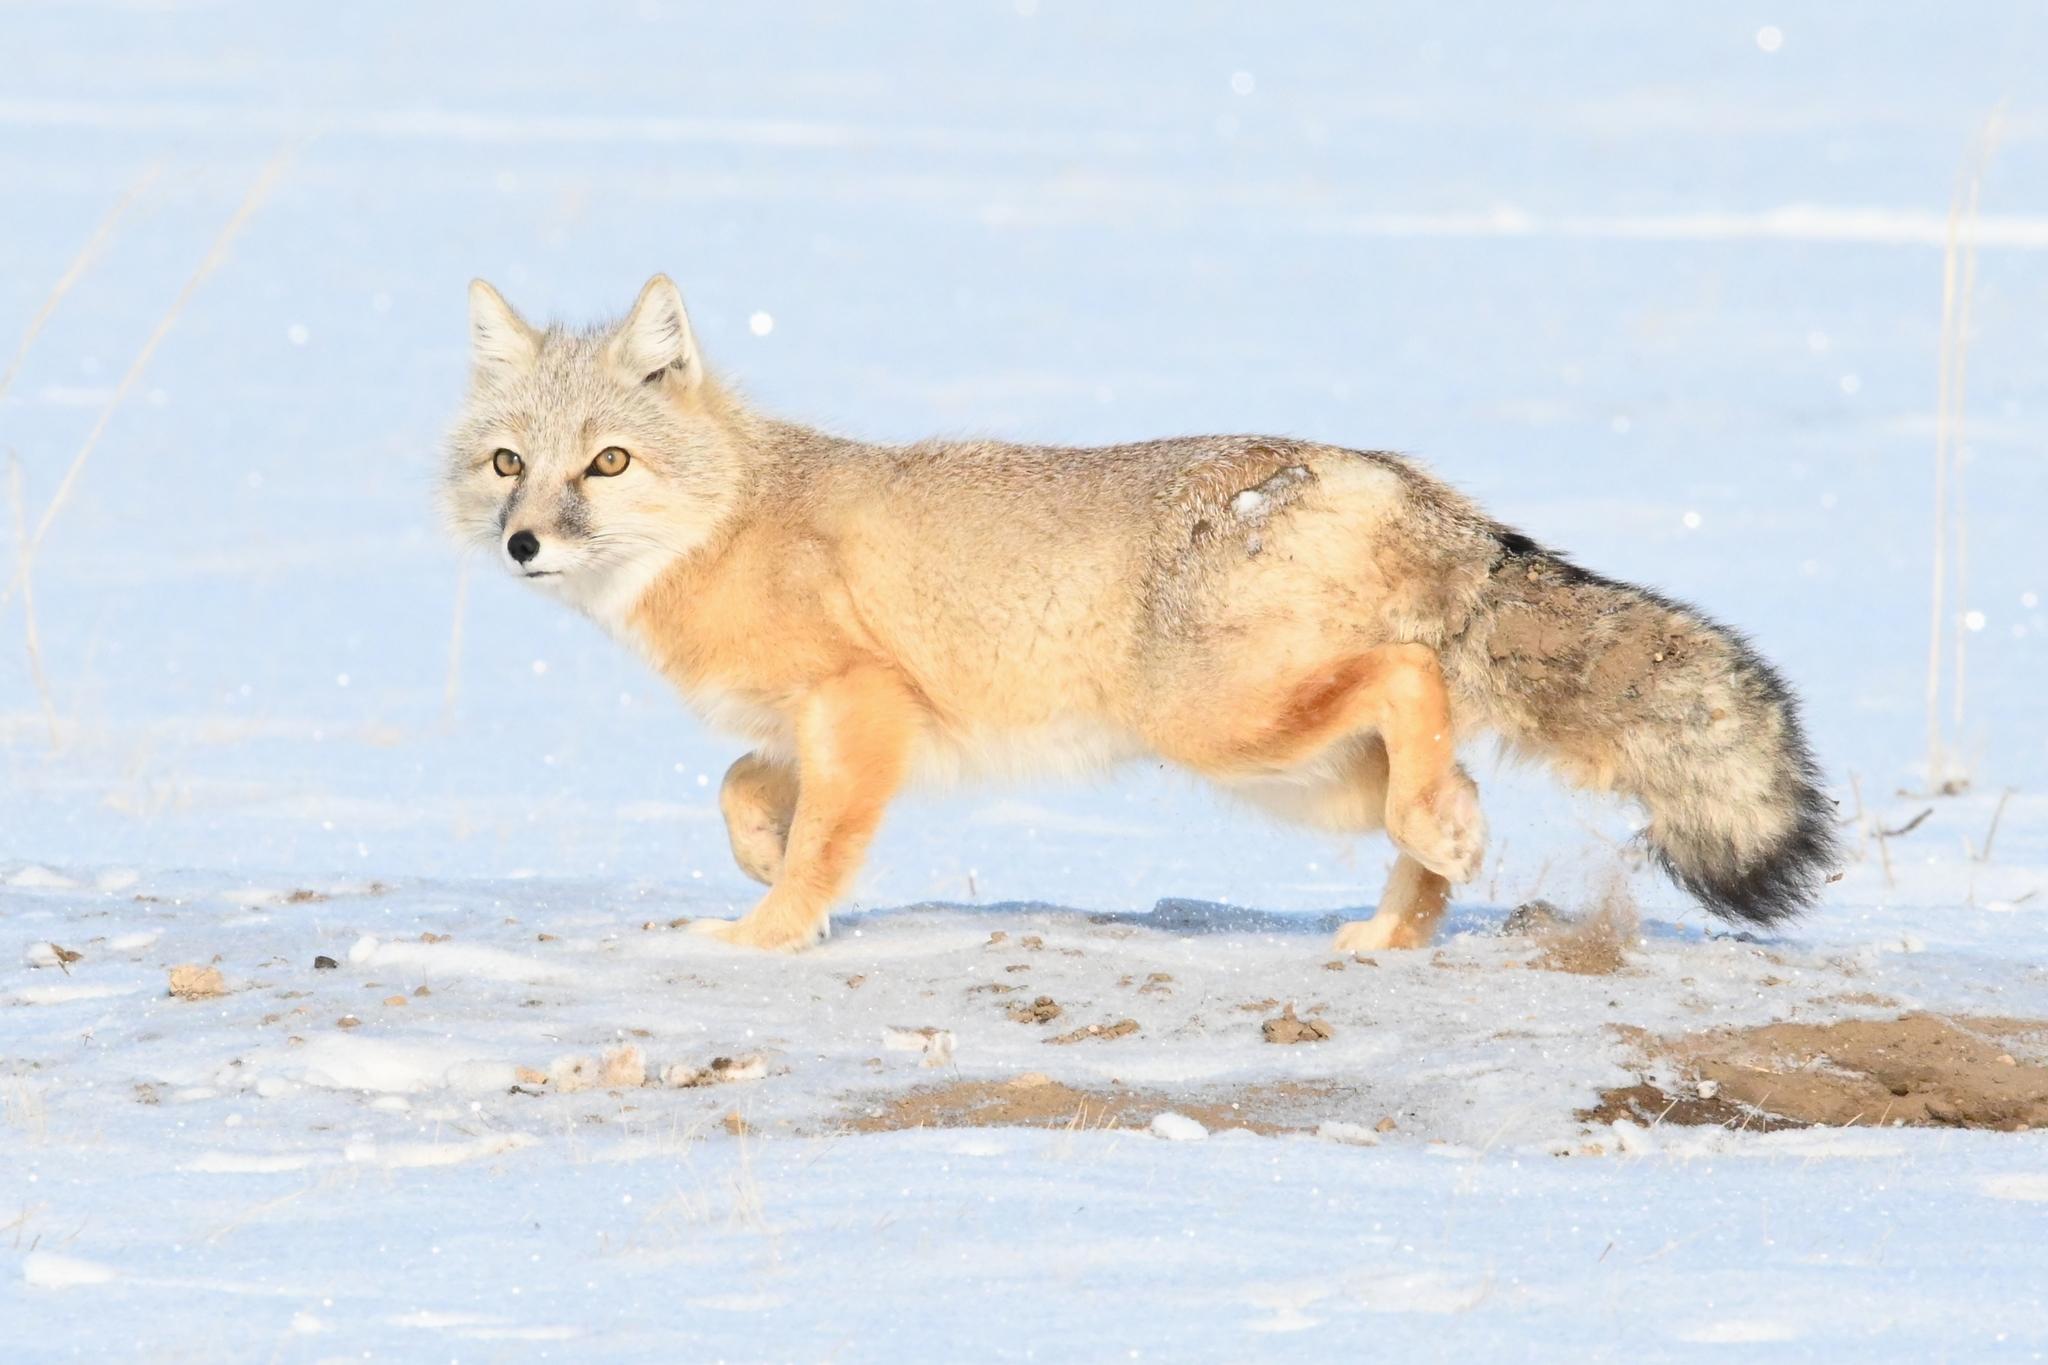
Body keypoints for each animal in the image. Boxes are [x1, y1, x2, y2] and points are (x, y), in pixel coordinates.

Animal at [442, 274, 1837, 954]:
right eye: (510, 464)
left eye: (607, 464)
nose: (521, 544)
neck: (735, 514)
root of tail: (1390, 477)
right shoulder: (819, 726)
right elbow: (738, 789)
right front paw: (755, 861)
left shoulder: (863, 705)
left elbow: (819, 841)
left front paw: (764, 931)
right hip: (1300, 775)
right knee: (1432, 788)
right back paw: (1396, 923)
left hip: (1219, 731)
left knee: (1410, 681)